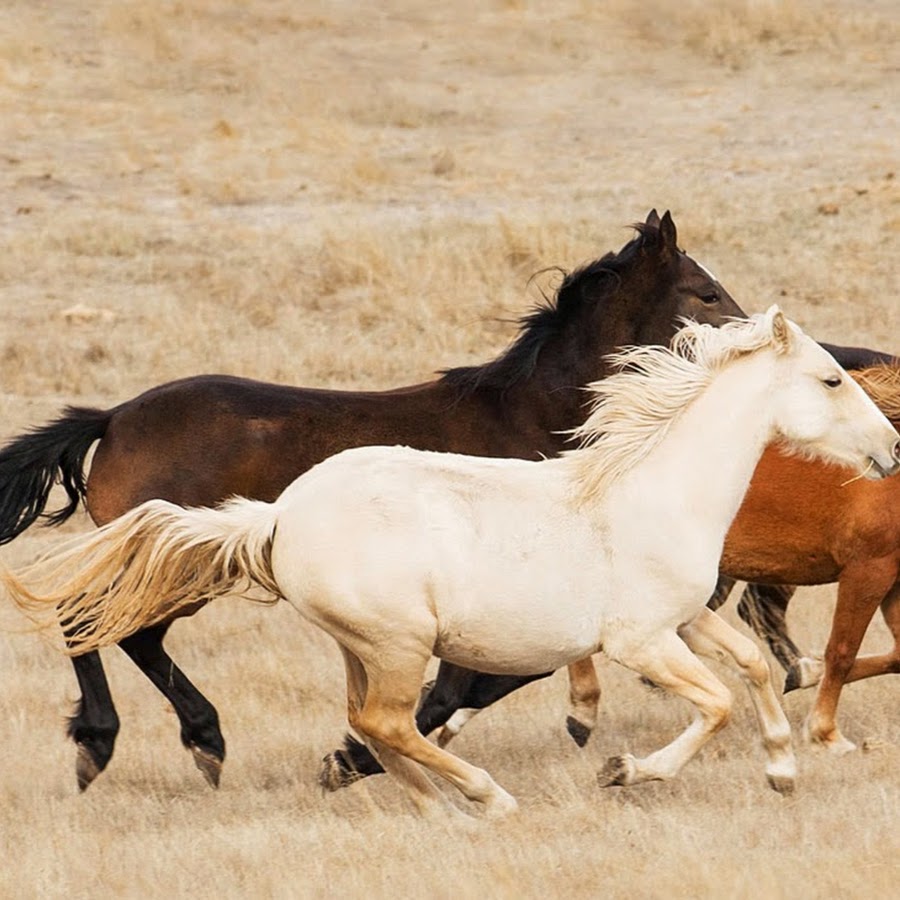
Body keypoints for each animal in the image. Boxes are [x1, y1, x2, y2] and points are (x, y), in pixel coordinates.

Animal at [0, 210, 751, 790]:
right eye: (707, 293)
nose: (758, 334)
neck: (532, 416)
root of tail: (114, 417)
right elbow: (478, 682)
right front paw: (357, 756)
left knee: (122, 631)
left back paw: (183, 741)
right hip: (181, 565)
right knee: (91, 619)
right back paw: (122, 742)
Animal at [6, 310, 900, 819]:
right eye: (830, 378)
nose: (891, 449)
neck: (652, 488)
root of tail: (280, 515)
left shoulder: (687, 618)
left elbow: (754, 666)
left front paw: (781, 768)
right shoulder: (640, 640)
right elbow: (713, 703)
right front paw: (624, 769)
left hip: (362, 647)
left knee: (373, 723)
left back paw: (431, 802)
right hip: (399, 645)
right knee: (388, 721)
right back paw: (482, 796)